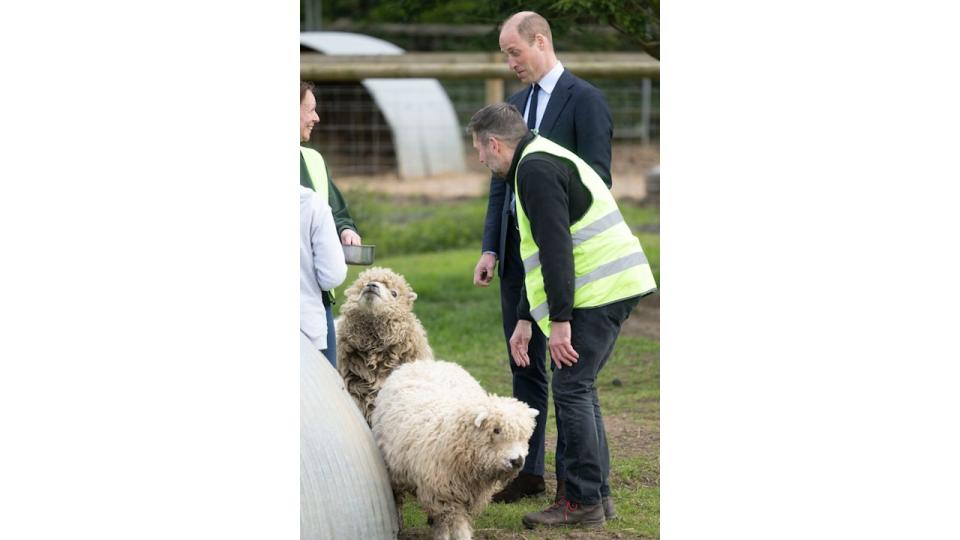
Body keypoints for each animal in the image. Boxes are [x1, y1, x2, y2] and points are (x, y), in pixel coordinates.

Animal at [374, 358, 540, 540]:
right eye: (496, 430)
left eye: (525, 434)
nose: (517, 461)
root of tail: (427, 362)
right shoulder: (440, 492)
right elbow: (448, 524)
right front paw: (444, 536)